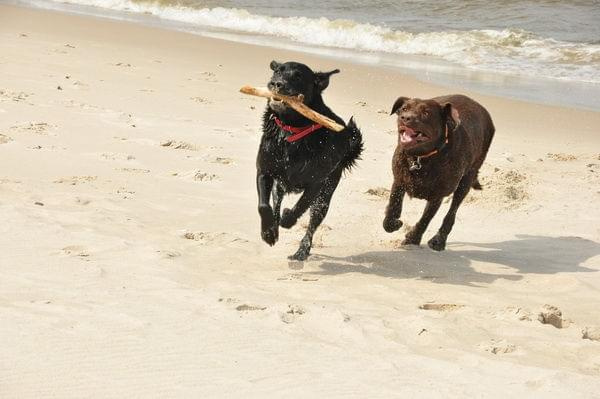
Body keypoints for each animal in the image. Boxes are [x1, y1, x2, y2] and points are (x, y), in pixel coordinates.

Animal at [256, 61, 364, 260]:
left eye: (298, 76)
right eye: (277, 71)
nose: (276, 84)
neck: (291, 130)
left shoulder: (316, 183)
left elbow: (300, 206)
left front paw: (287, 220)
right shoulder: (265, 171)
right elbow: (263, 206)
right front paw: (268, 233)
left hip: (326, 195)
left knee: (313, 223)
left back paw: (301, 251)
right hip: (279, 186)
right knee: (276, 202)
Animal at [384, 94, 496, 250]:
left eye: (426, 113)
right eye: (404, 108)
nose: (405, 117)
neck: (421, 157)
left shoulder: (438, 195)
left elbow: (426, 218)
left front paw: (413, 238)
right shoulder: (399, 179)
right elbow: (393, 207)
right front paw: (394, 223)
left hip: (466, 180)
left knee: (452, 212)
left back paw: (439, 240)